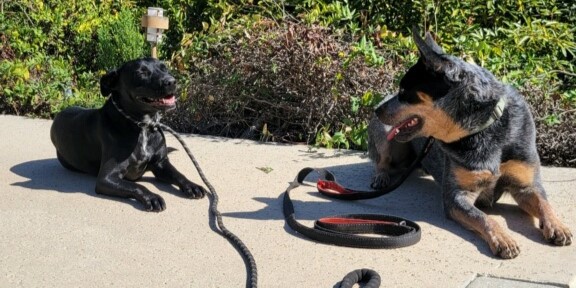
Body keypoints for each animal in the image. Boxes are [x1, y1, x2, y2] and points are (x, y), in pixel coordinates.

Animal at [50, 58, 205, 212]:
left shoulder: (161, 164)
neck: (142, 126)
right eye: (141, 73)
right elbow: (137, 185)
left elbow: (178, 174)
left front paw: (191, 185)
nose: (172, 81)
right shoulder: (106, 178)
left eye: (164, 68)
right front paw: (151, 197)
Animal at [368, 28, 572, 258]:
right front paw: (503, 238)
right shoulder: (457, 197)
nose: (376, 109)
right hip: (384, 137)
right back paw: (381, 177)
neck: (482, 129)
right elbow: (484, 217)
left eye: (404, 91)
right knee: (381, 160)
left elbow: (544, 203)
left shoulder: (527, 185)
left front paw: (557, 225)